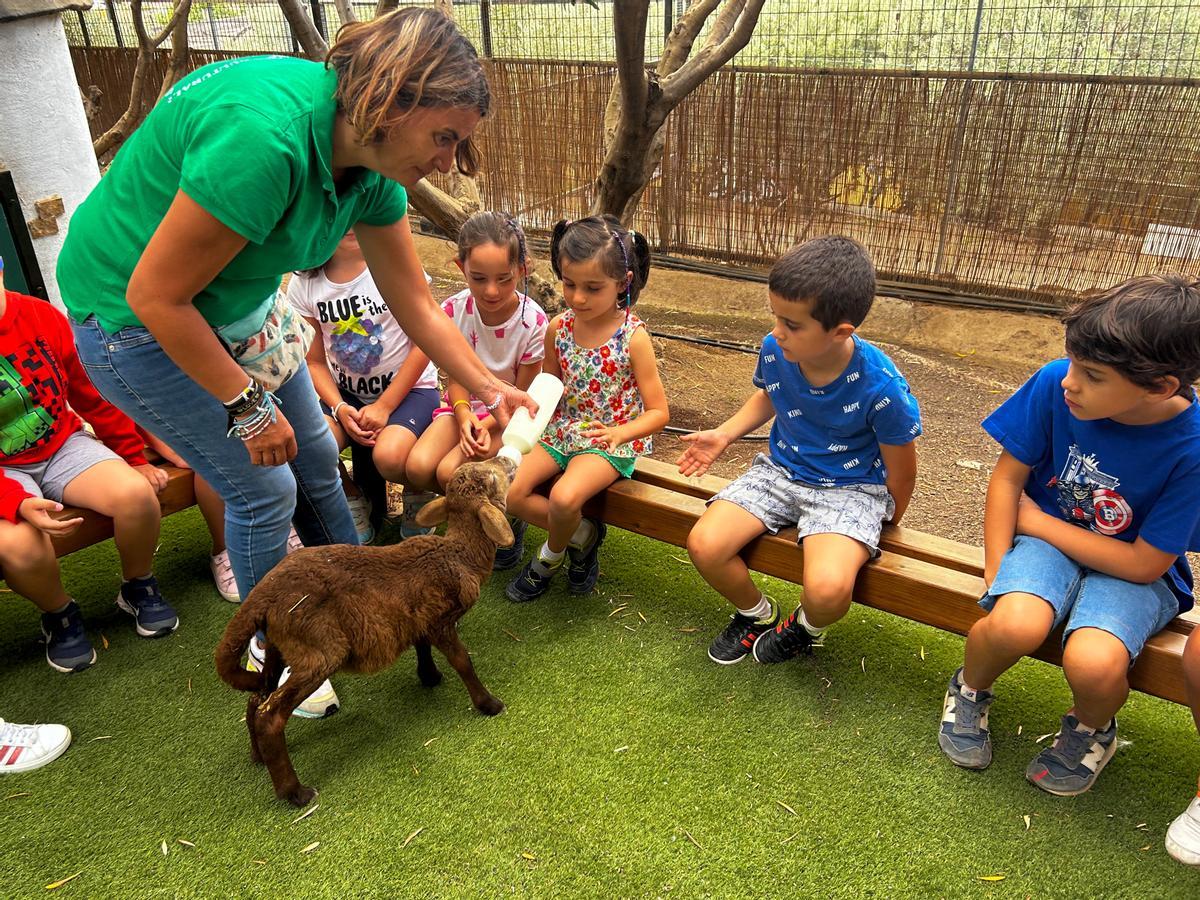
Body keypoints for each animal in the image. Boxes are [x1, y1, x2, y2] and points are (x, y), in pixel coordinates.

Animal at [216, 460, 516, 806]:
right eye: (492, 477)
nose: (509, 462)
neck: (460, 553)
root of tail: (261, 596)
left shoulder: (419, 616)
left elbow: (422, 645)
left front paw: (429, 676)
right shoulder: (441, 620)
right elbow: (463, 661)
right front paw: (488, 704)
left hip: (280, 646)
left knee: (256, 699)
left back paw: (258, 757)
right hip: (318, 650)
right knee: (270, 716)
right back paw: (295, 793)